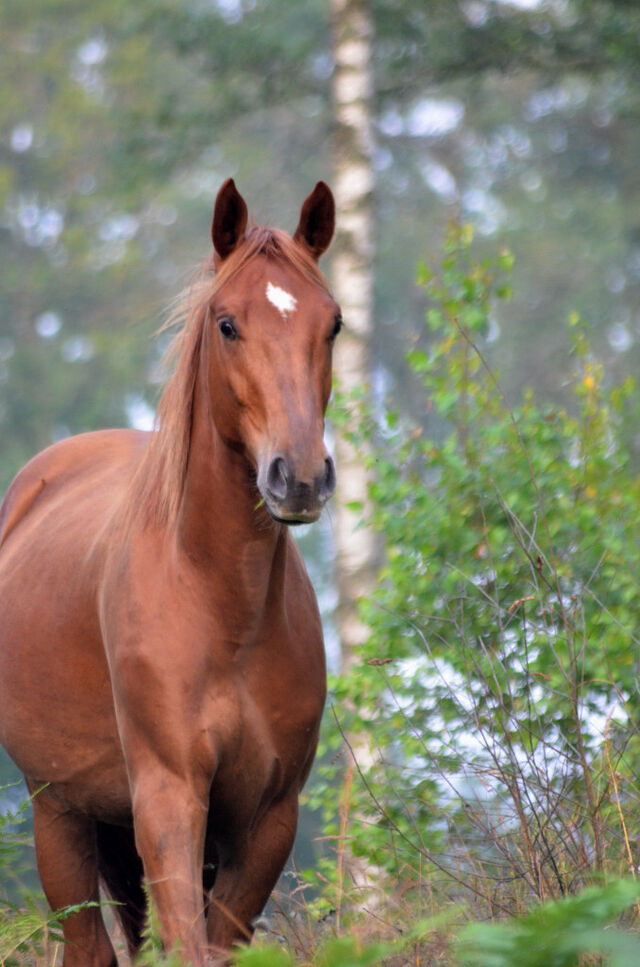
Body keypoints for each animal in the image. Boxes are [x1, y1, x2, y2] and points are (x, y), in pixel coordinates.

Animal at [0, 178, 340, 966]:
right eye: (227, 324)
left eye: (334, 324)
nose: (301, 477)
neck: (222, 607)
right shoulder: (168, 797)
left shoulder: (267, 819)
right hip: (59, 813)